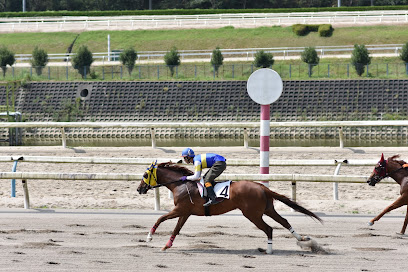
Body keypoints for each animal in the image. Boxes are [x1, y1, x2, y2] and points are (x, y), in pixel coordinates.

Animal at [137, 160, 322, 254]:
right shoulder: (185, 212)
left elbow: (160, 218)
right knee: (284, 221)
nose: (139, 189)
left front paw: (149, 237)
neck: (181, 184)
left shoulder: (180, 210)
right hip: (268, 209)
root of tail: (262, 187)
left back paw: (269, 250)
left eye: (145, 174)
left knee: (269, 229)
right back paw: (302, 239)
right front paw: (166, 245)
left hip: (252, 214)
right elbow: (176, 229)